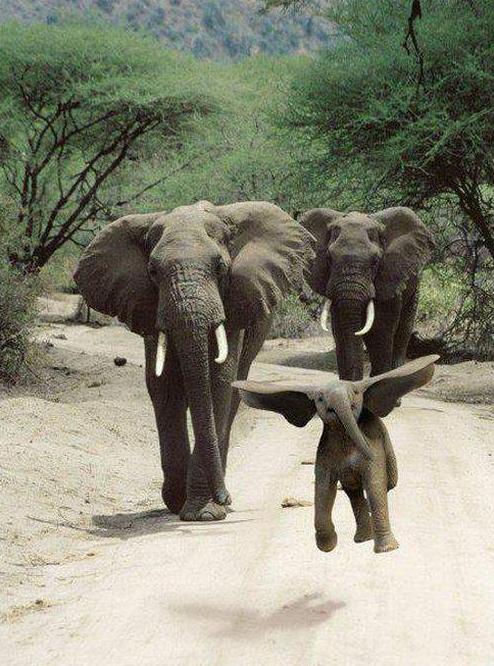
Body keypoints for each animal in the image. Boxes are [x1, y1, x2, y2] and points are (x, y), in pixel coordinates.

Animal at [74, 200, 314, 521]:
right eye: (152, 271)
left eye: (221, 267)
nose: (225, 497)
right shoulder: (149, 307)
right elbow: (164, 386)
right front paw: (178, 502)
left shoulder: (233, 303)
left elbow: (217, 382)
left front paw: (205, 512)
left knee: (232, 395)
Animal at [234, 355, 438, 553]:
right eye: (320, 399)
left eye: (355, 392)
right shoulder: (325, 453)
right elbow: (323, 488)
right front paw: (327, 546)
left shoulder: (374, 445)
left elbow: (375, 483)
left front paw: (387, 550)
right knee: (354, 493)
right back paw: (362, 539)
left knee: (375, 488)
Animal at [300, 207, 434, 380]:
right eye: (329, 258)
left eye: (376, 261)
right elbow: (341, 329)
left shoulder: (388, 276)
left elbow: (380, 330)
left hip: (414, 286)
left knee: (402, 331)